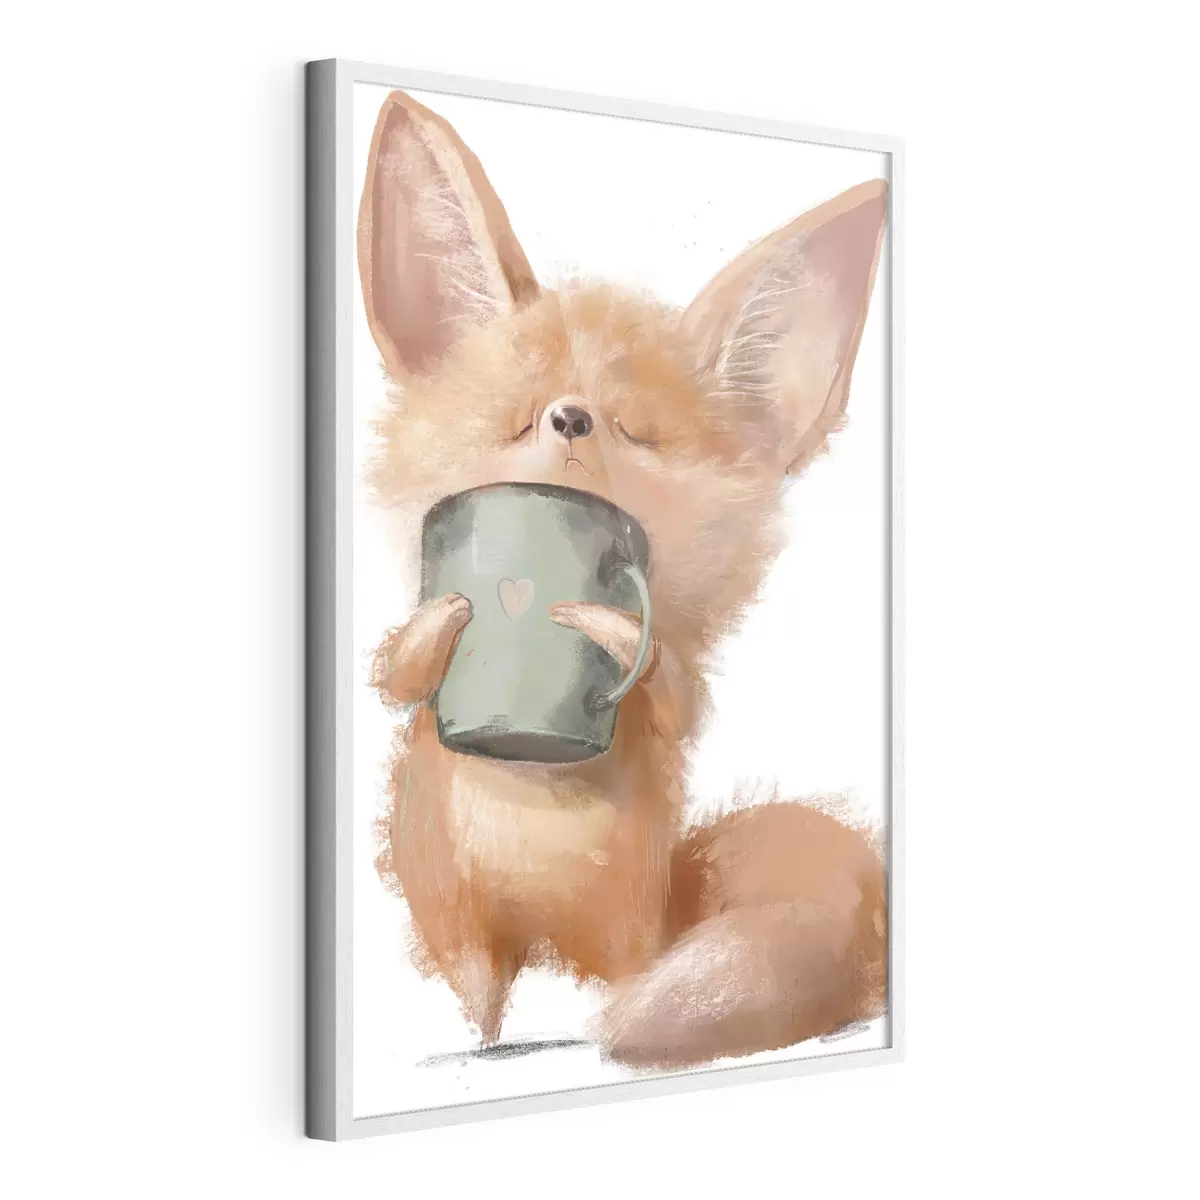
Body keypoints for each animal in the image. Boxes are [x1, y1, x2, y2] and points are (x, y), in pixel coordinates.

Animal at [358, 89, 890, 1069]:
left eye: (632, 429)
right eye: (519, 416)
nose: (570, 418)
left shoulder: (672, 675)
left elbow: (674, 689)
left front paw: (602, 626)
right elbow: (396, 672)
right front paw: (448, 616)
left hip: (629, 933)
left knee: (616, 982)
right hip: (458, 922)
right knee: (481, 995)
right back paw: (485, 1040)